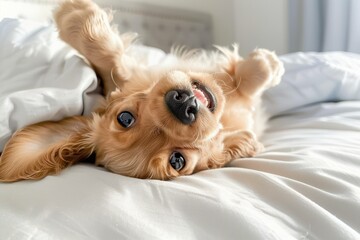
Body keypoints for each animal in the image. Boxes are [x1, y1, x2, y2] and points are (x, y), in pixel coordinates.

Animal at [0, 0, 284, 181]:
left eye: (124, 118)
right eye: (176, 161)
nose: (183, 105)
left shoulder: (131, 75)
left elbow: (110, 60)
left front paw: (76, 14)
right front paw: (266, 66)